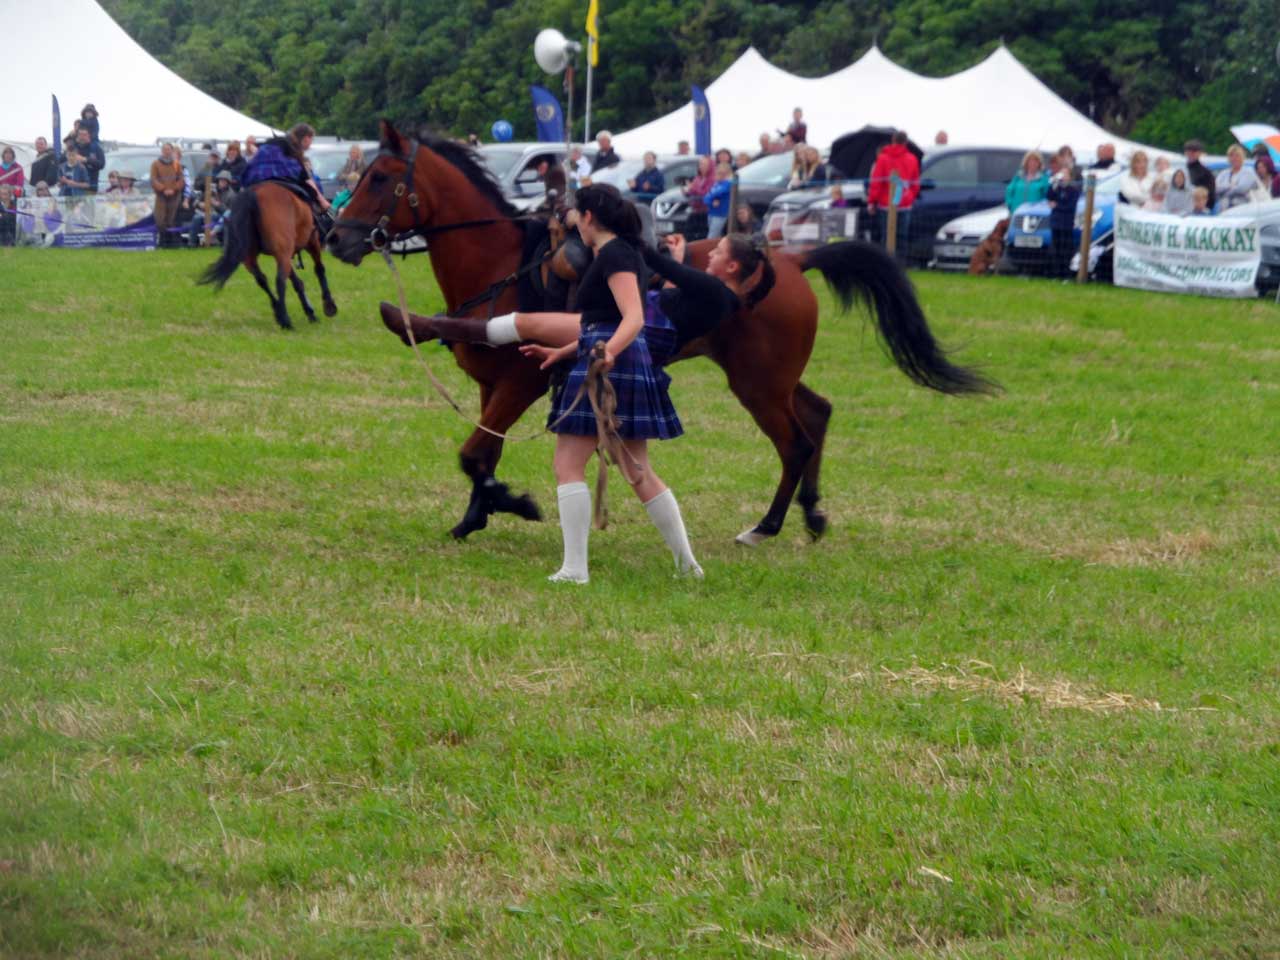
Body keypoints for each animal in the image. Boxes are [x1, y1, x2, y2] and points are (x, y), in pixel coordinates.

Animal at [197, 181, 337, 332]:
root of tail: (253, 195)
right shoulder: (311, 241)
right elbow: (319, 269)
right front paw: (329, 305)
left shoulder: (285, 254)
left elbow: (297, 282)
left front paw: (309, 311)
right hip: (286, 250)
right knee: (280, 280)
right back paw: (286, 320)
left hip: (250, 256)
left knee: (262, 280)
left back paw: (279, 312)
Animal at [325, 126, 993, 547]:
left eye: (380, 177)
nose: (335, 237)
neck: (501, 264)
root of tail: (793, 261)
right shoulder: (495, 386)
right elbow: (481, 455)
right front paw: (477, 514)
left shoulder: (519, 383)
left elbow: (475, 454)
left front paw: (514, 504)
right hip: (771, 378)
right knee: (819, 412)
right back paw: (811, 514)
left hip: (757, 386)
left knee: (796, 441)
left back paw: (768, 525)